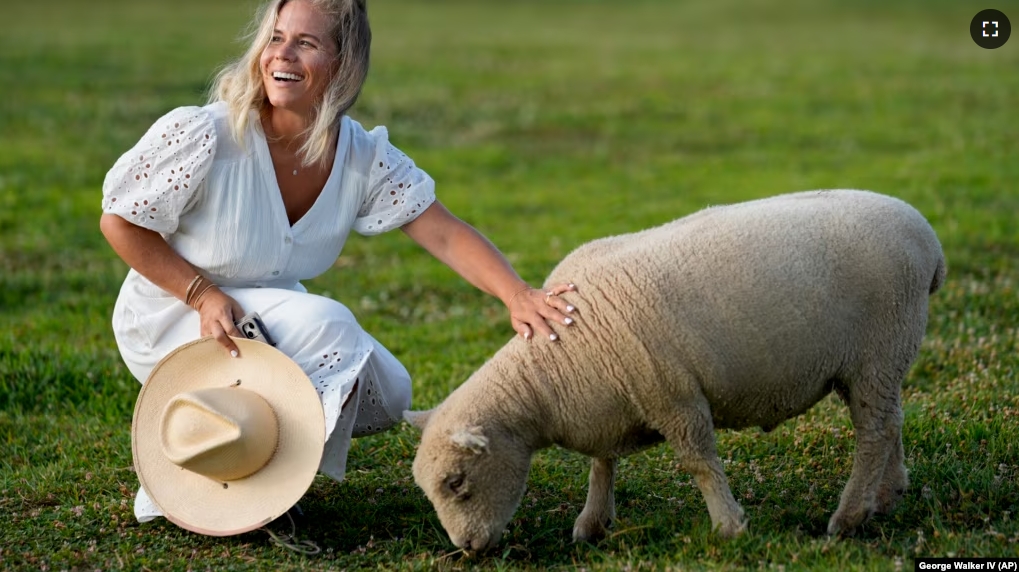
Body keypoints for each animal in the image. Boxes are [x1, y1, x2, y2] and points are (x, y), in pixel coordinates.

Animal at [403, 189, 945, 550]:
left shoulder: (672, 395)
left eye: (456, 482)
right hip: (876, 359)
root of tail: (927, 239)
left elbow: (699, 462)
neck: (550, 377)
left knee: (873, 432)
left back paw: (849, 518)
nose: (466, 549)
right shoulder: (613, 402)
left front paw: (729, 526)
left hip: (879, 346)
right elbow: (602, 463)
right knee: (890, 421)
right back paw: (888, 495)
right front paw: (592, 523)